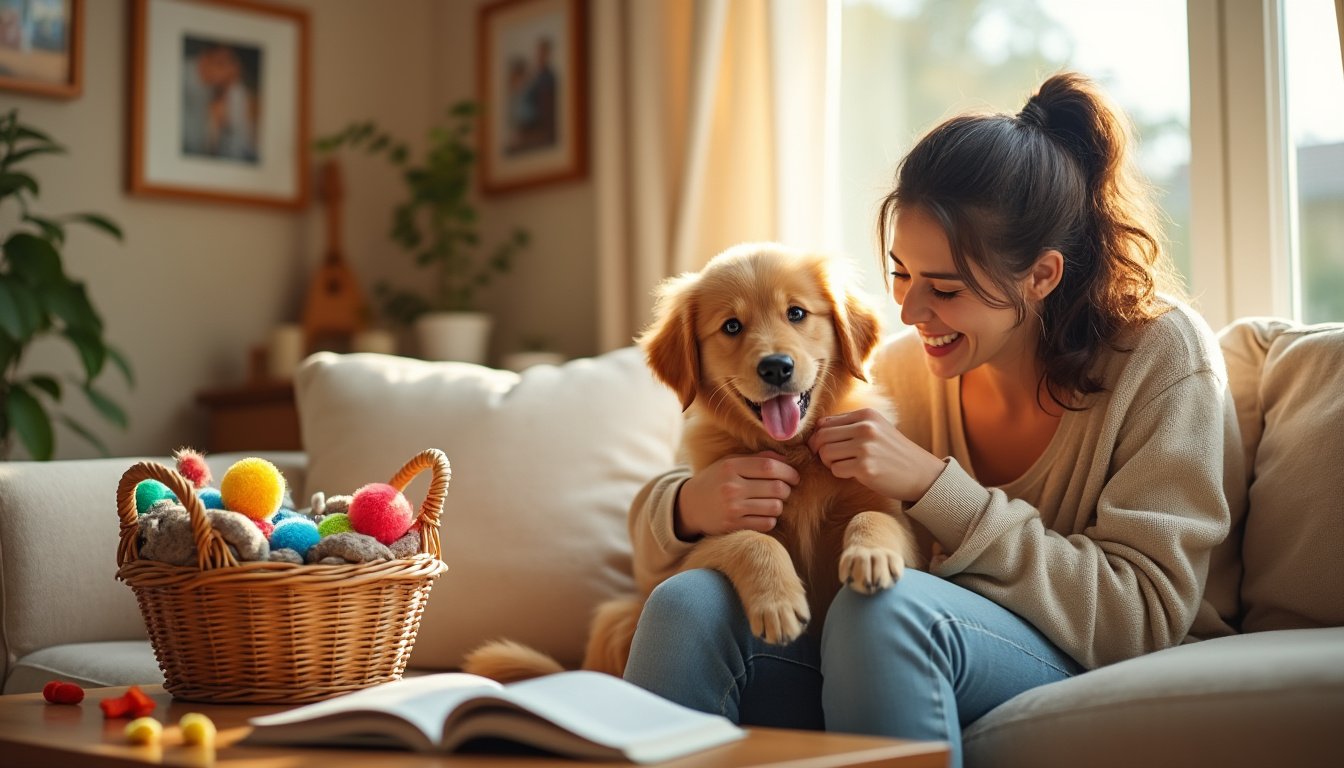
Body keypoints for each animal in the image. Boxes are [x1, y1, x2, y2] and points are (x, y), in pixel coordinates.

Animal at [467, 243, 919, 683]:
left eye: (796, 313)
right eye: (732, 327)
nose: (776, 367)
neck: (793, 450)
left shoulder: (902, 530)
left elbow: (872, 517)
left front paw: (871, 556)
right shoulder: (696, 550)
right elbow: (751, 539)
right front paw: (777, 603)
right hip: (619, 617)